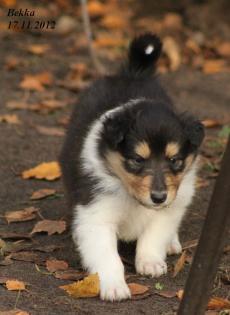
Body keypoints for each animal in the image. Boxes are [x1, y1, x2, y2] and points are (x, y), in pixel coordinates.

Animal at [59, 33, 205, 302]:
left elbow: (153, 235)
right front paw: (114, 286)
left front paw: (150, 262)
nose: (159, 197)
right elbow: (107, 256)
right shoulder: (97, 214)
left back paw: (172, 242)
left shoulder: (170, 208)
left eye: (175, 160)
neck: (132, 196)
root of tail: (133, 72)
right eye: (137, 160)